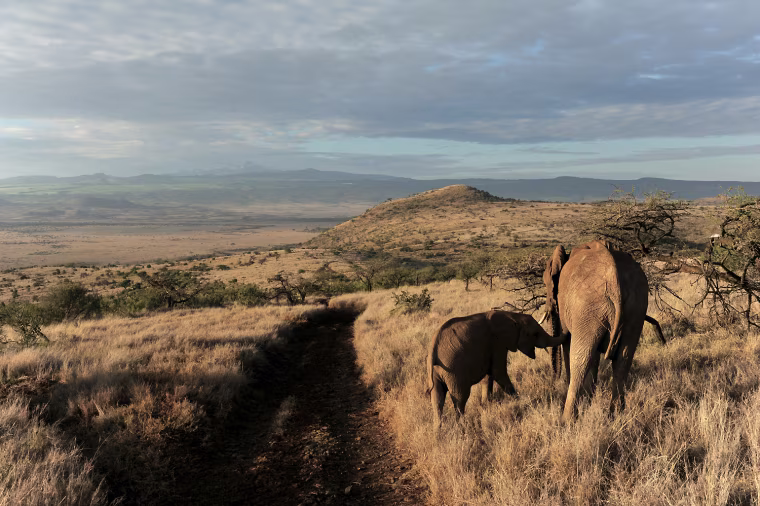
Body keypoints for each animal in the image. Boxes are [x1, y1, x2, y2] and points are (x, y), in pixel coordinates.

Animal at [426, 310, 565, 428]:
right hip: (454, 370)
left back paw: (438, 430)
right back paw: (461, 426)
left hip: (437, 372)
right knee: (460, 398)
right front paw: (521, 400)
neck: (513, 316)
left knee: (437, 399)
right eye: (535, 334)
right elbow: (498, 372)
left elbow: (489, 377)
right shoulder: (498, 343)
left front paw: (486, 404)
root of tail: (433, 348)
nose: (567, 333)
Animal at [542, 240, 665, 421]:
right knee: (623, 359)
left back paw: (567, 420)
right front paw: (589, 402)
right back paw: (615, 415)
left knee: (580, 360)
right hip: (636, 307)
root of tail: (615, 280)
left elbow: (568, 343)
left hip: (587, 308)